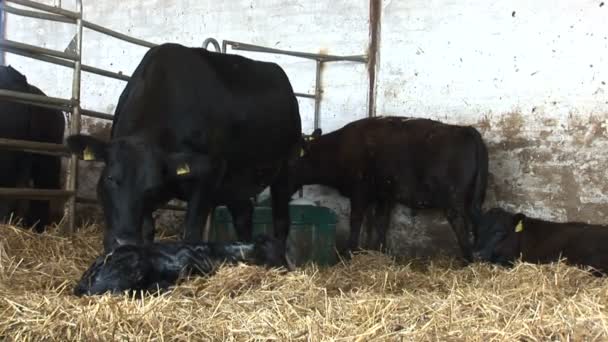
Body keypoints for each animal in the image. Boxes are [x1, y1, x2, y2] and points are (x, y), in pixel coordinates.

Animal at [66, 43, 302, 251]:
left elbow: (191, 232)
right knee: (243, 216)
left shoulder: (210, 173)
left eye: (151, 188)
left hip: (287, 166)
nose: (124, 242)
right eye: (110, 178)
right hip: (237, 180)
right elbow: (147, 230)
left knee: (281, 220)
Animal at [290, 116, 490, 260]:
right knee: (477, 222)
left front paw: (349, 253)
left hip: (453, 200)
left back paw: (467, 260)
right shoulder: (383, 195)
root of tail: (465, 129)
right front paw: (380, 251)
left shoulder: (360, 192)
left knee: (460, 225)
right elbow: (381, 222)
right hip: (473, 201)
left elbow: (356, 220)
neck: (337, 149)